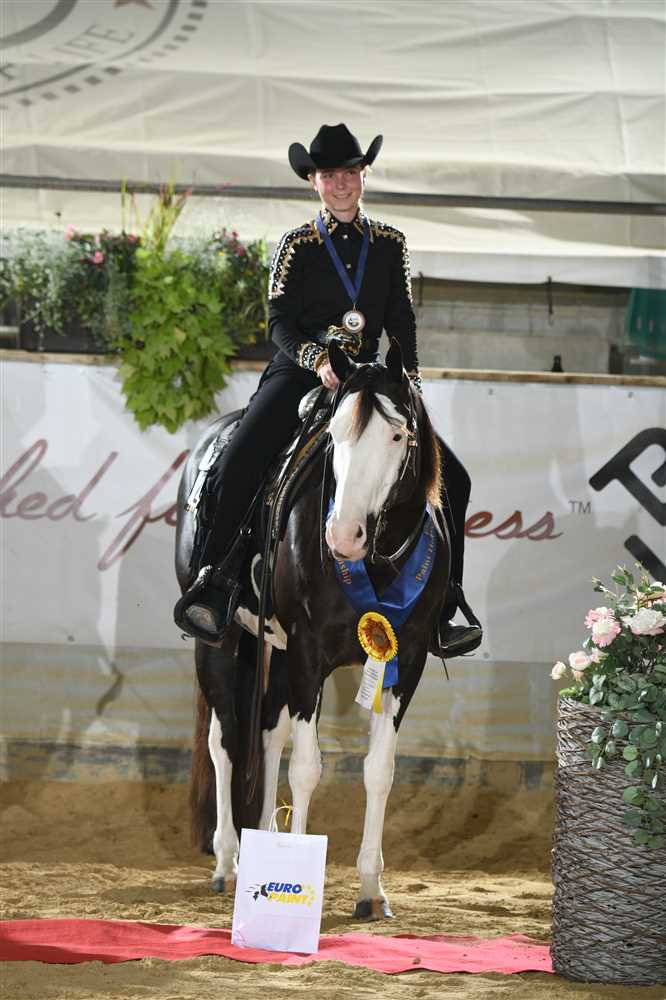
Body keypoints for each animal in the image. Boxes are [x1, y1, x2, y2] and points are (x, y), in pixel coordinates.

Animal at [175, 340, 450, 919]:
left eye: (398, 435)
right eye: (336, 435)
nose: (343, 537)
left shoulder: (406, 659)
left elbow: (379, 769)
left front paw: (371, 889)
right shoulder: (308, 651)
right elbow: (306, 768)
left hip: (275, 650)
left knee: (267, 733)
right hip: (223, 642)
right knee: (225, 740)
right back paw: (228, 861)